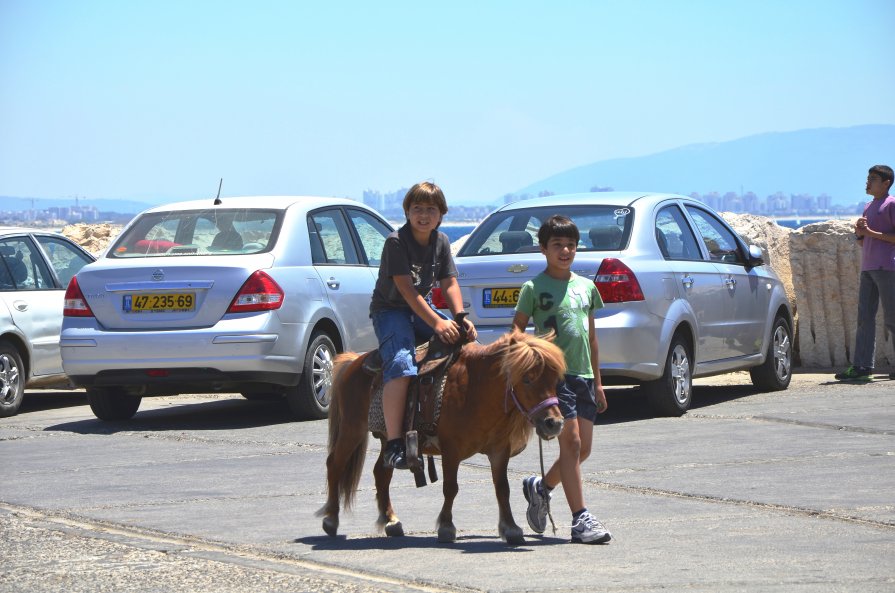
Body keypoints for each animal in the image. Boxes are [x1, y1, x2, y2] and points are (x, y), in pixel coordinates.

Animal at [318, 330, 564, 544]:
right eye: (527, 379)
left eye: (555, 380)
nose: (554, 423)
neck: (476, 388)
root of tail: (354, 362)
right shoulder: (451, 450)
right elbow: (451, 487)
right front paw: (446, 526)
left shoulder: (499, 451)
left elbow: (502, 488)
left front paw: (510, 528)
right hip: (352, 429)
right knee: (334, 464)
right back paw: (331, 518)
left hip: (389, 441)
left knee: (381, 473)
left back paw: (391, 520)